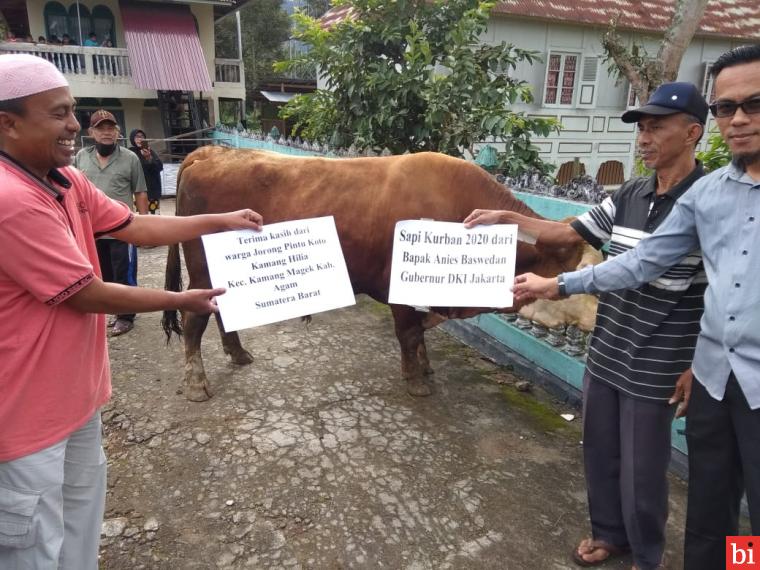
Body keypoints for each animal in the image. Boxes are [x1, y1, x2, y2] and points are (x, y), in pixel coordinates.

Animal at [160, 146, 588, 400]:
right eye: (581, 266)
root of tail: (212, 151)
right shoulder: (401, 289)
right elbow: (409, 333)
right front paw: (417, 380)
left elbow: (419, 334)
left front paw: (425, 368)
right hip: (201, 273)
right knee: (193, 320)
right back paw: (196, 383)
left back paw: (238, 354)